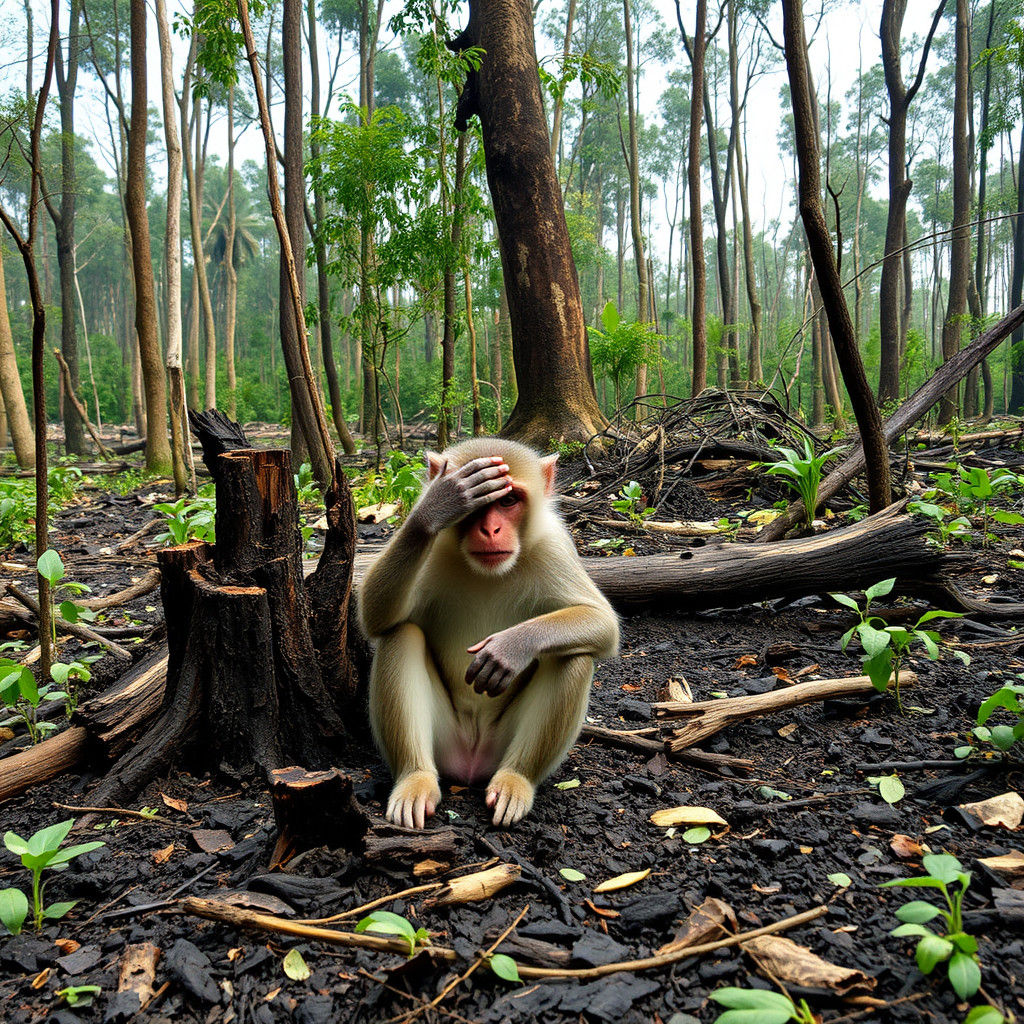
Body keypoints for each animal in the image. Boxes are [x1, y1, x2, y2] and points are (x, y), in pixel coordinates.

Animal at [358, 438, 619, 829]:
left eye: (508, 501)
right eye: (479, 504)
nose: (490, 531)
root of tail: (471, 763)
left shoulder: (553, 548)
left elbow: (603, 623)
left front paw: (510, 647)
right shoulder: (431, 550)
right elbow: (375, 615)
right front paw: (437, 505)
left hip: (498, 747)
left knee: (573, 656)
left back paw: (516, 779)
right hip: (446, 743)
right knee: (400, 635)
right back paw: (415, 778)